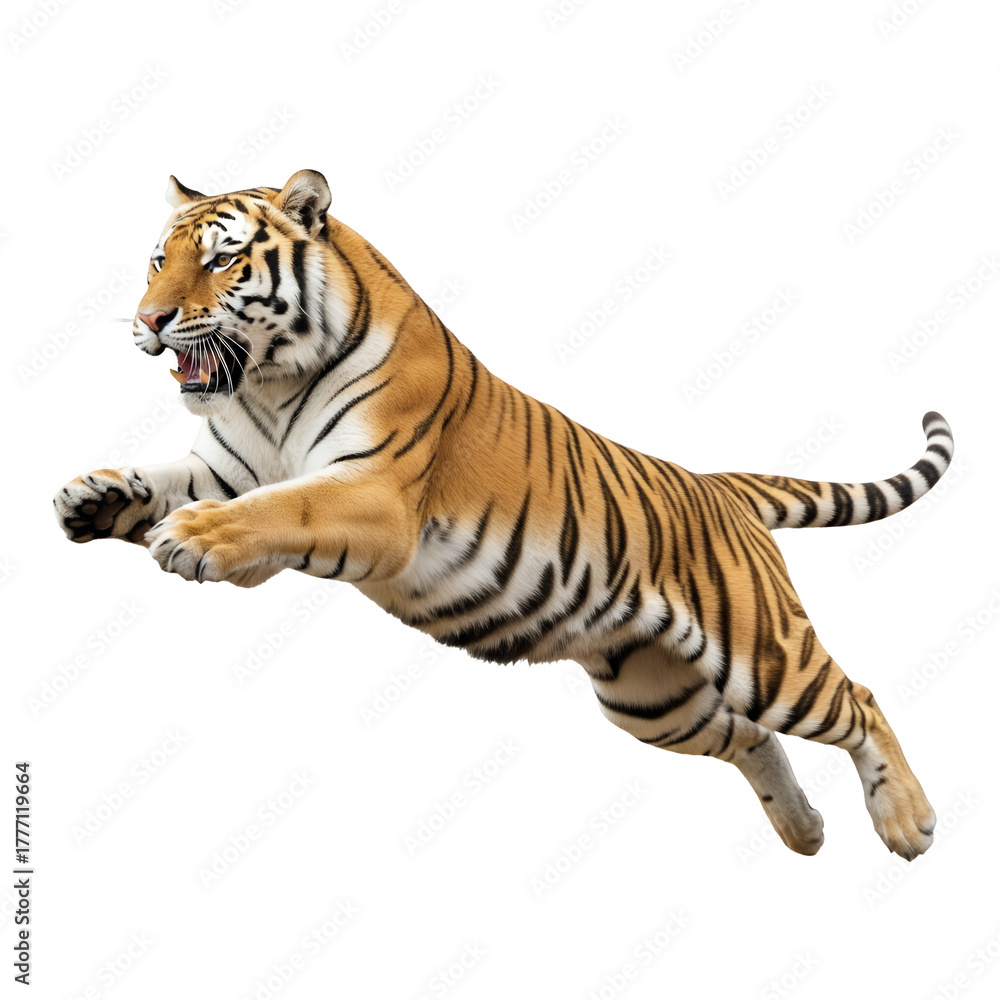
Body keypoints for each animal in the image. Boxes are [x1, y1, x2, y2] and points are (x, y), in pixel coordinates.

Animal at [54, 169, 953, 860]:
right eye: (157, 260)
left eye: (222, 258)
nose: (148, 320)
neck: (268, 386)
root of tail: (716, 485)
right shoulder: (225, 468)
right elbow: (165, 476)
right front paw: (93, 495)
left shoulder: (374, 494)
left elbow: (281, 506)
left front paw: (190, 535)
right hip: (652, 698)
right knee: (751, 737)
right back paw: (805, 832)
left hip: (763, 653)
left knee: (857, 699)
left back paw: (907, 823)